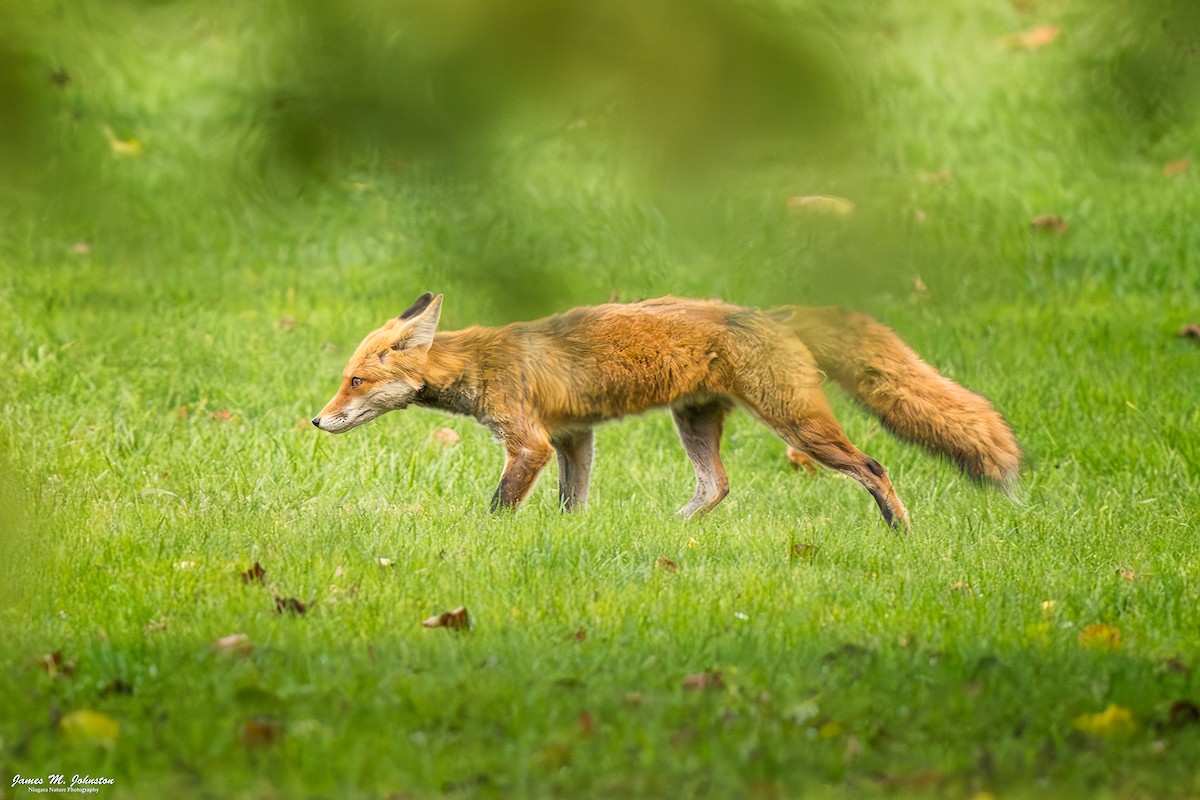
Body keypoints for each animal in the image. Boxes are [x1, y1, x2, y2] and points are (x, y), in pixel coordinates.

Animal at [312, 292, 1022, 528]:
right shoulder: (573, 439)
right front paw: (569, 538)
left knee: (872, 466)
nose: (317, 421)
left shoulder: (530, 442)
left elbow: (497, 506)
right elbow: (572, 502)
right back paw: (669, 531)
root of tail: (774, 313)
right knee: (717, 486)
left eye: (353, 381)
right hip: (695, 422)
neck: (478, 362)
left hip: (797, 425)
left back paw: (900, 531)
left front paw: (487, 541)